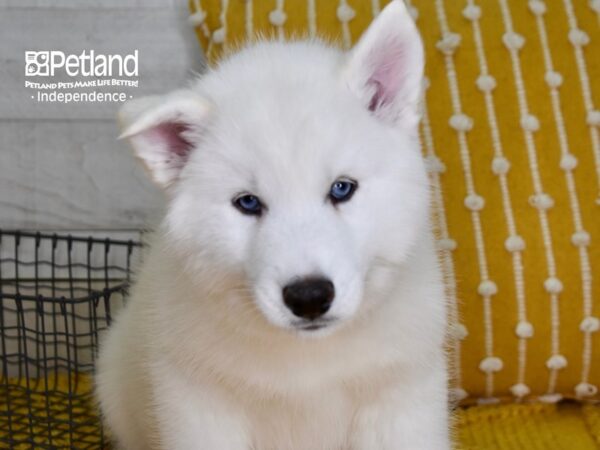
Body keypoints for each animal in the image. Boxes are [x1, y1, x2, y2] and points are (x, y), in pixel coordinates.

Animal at [96, 1, 448, 448]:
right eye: (247, 203)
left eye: (342, 188)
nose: (309, 297)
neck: (308, 358)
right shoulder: (200, 406)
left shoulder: (399, 399)